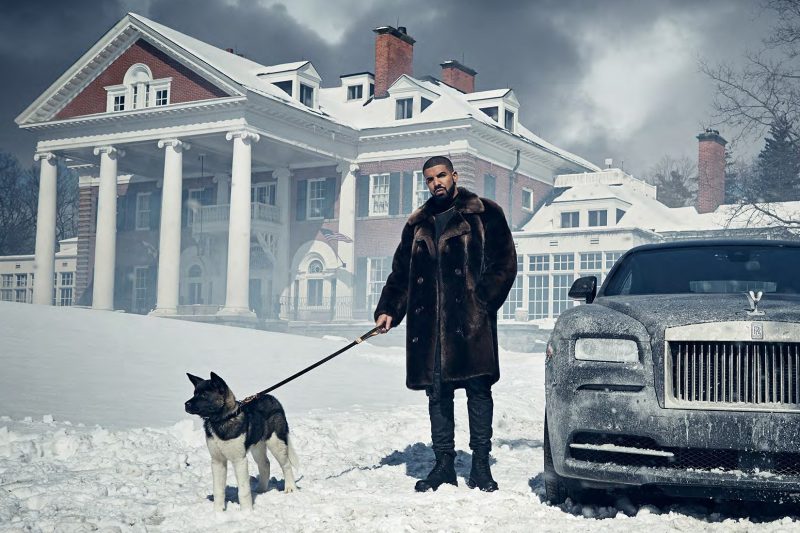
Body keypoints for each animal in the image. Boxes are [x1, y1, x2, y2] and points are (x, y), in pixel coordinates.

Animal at [186, 372, 298, 510]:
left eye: (204, 395)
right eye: (194, 393)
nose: (186, 404)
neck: (222, 420)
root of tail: (273, 399)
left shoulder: (239, 460)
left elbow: (243, 490)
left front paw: (246, 511)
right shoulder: (217, 461)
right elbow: (218, 489)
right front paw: (218, 512)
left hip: (276, 442)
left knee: (286, 464)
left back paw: (290, 488)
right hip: (257, 446)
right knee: (265, 464)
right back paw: (261, 490)